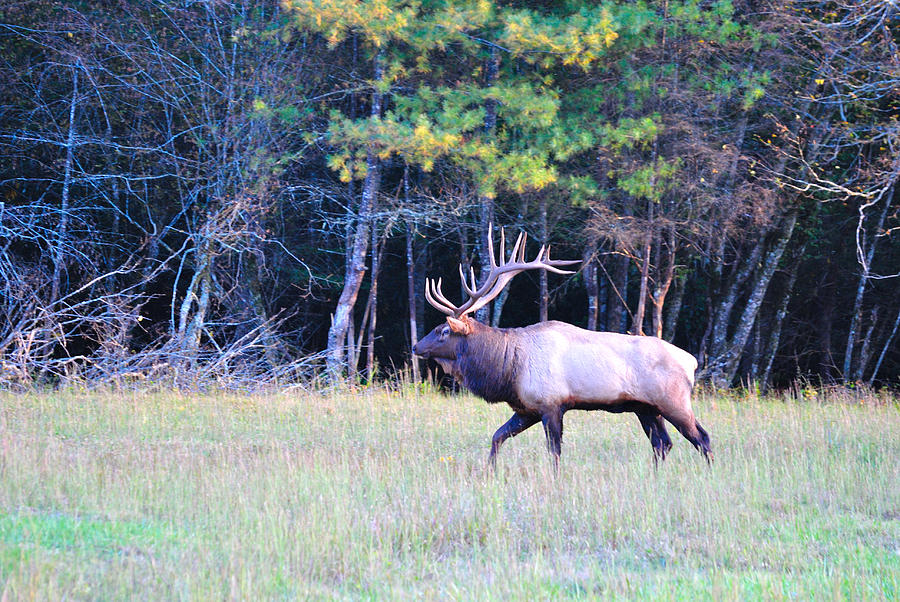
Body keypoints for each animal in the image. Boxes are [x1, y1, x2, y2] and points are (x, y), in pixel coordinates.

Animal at [412, 225, 712, 468]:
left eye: (442, 331)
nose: (415, 347)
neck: (508, 369)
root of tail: (692, 361)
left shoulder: (551, 405)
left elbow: (554, 452)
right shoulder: (527, 409)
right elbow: (497, 437)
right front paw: (490, 471)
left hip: (673, 401)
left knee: (701, 438)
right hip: (646, 408)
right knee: (663, 443)